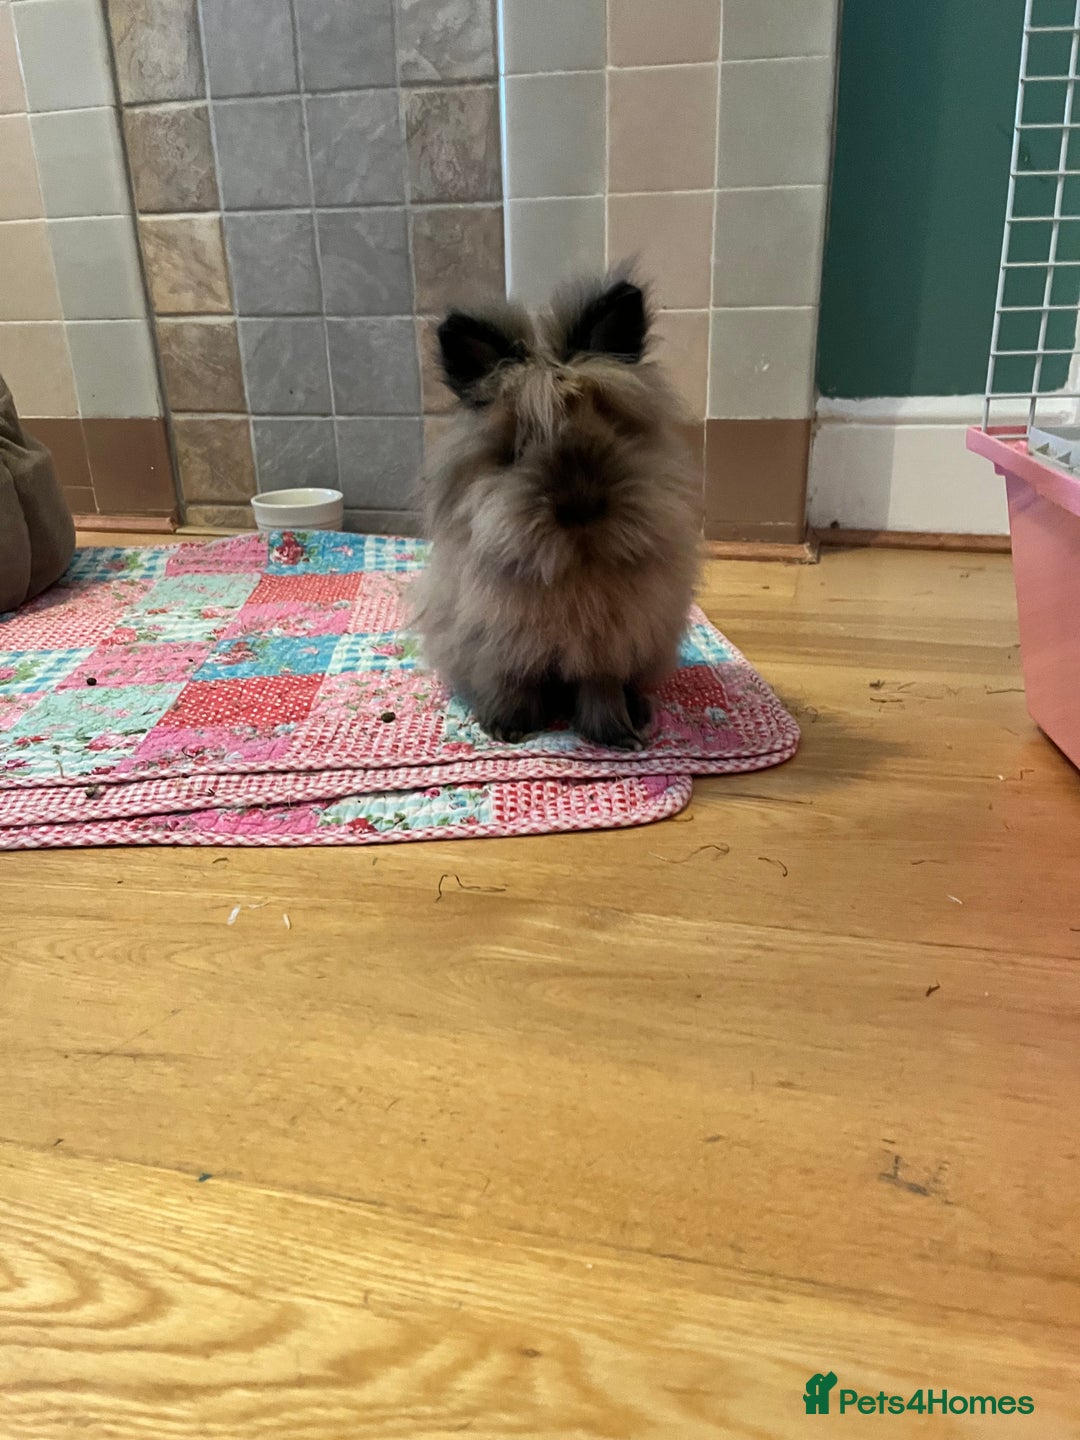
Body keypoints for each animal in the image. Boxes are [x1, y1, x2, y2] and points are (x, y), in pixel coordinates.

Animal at [412, 270, 701, 751]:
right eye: (517, 449)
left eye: (612, 425)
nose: (580, 504)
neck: (574, 564)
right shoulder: (506, 647)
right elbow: (515, 686)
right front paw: (507, 729)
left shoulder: (607, 650)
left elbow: (602, 692)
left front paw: (618, 738)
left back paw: (640, 714)